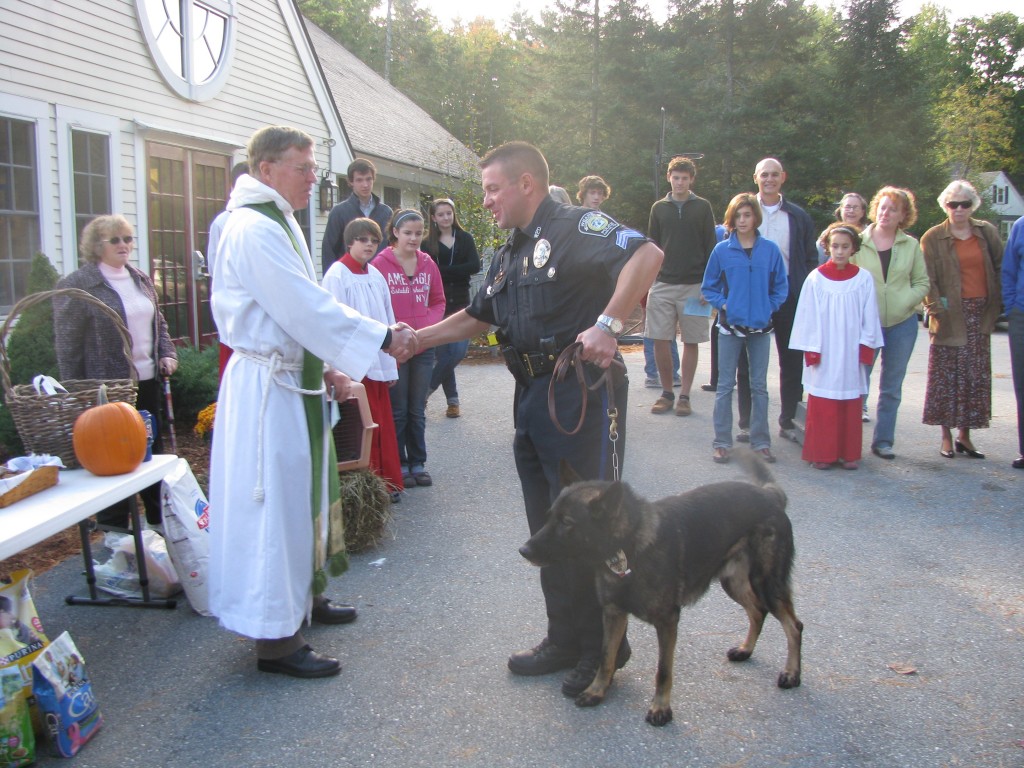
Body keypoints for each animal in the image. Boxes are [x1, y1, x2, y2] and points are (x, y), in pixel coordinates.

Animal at [520, 454, 798, 729]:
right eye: (549, 517)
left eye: (567, 523)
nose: (523, 550)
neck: (627, 546)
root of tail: (770, 495)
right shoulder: (613, 614)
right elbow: (606, 658)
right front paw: (596, 691)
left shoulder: (667, 622)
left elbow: (663, 670)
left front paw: (661, 708)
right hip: (735, 584)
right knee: (757, 611)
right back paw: (746, 650)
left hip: (767, 584)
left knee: (794, 626)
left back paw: (791, 674)